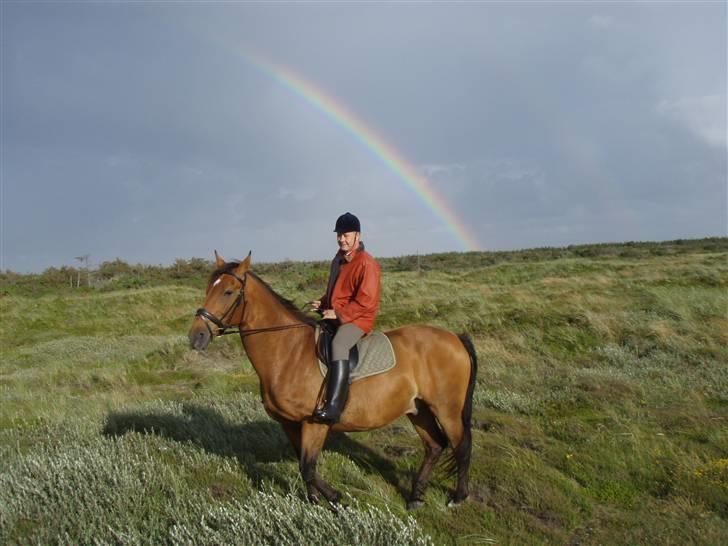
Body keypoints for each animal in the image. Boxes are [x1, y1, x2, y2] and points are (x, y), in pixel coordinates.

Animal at [188, 250, 478, 506]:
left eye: (228, 292)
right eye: (208, 288)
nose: (196, 336)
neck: (288, 351)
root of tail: (455, 337)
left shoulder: (314, 423)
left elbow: (307, 466)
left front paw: (336, 499)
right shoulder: (289, 423)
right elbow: (304, 466)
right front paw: (314, 501)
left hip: (447, 409)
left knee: (460, 446)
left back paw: (458, 497)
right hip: (418, 409)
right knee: (435, 446)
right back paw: (416, 497)